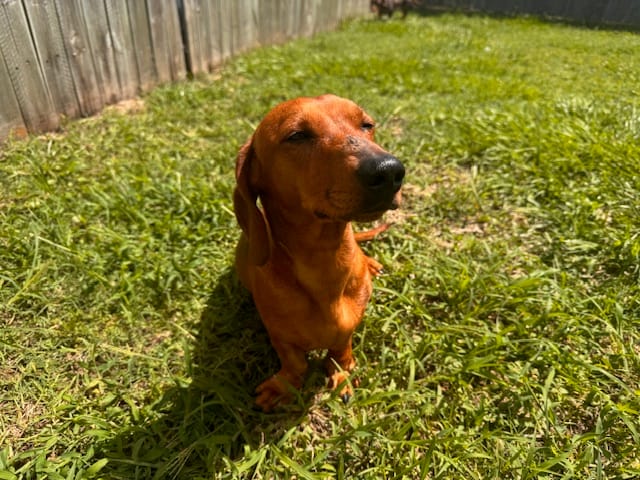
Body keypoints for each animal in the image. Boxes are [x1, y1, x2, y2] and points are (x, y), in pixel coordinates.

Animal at [233, 94, 404, 411]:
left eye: (367, 124)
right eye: (297, 136)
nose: (389, 170)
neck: (326, 261)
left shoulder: (348, 326)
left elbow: (340, 350)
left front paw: (342, 373)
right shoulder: (279, 335)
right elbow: (295, 364)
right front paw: (284, 386)